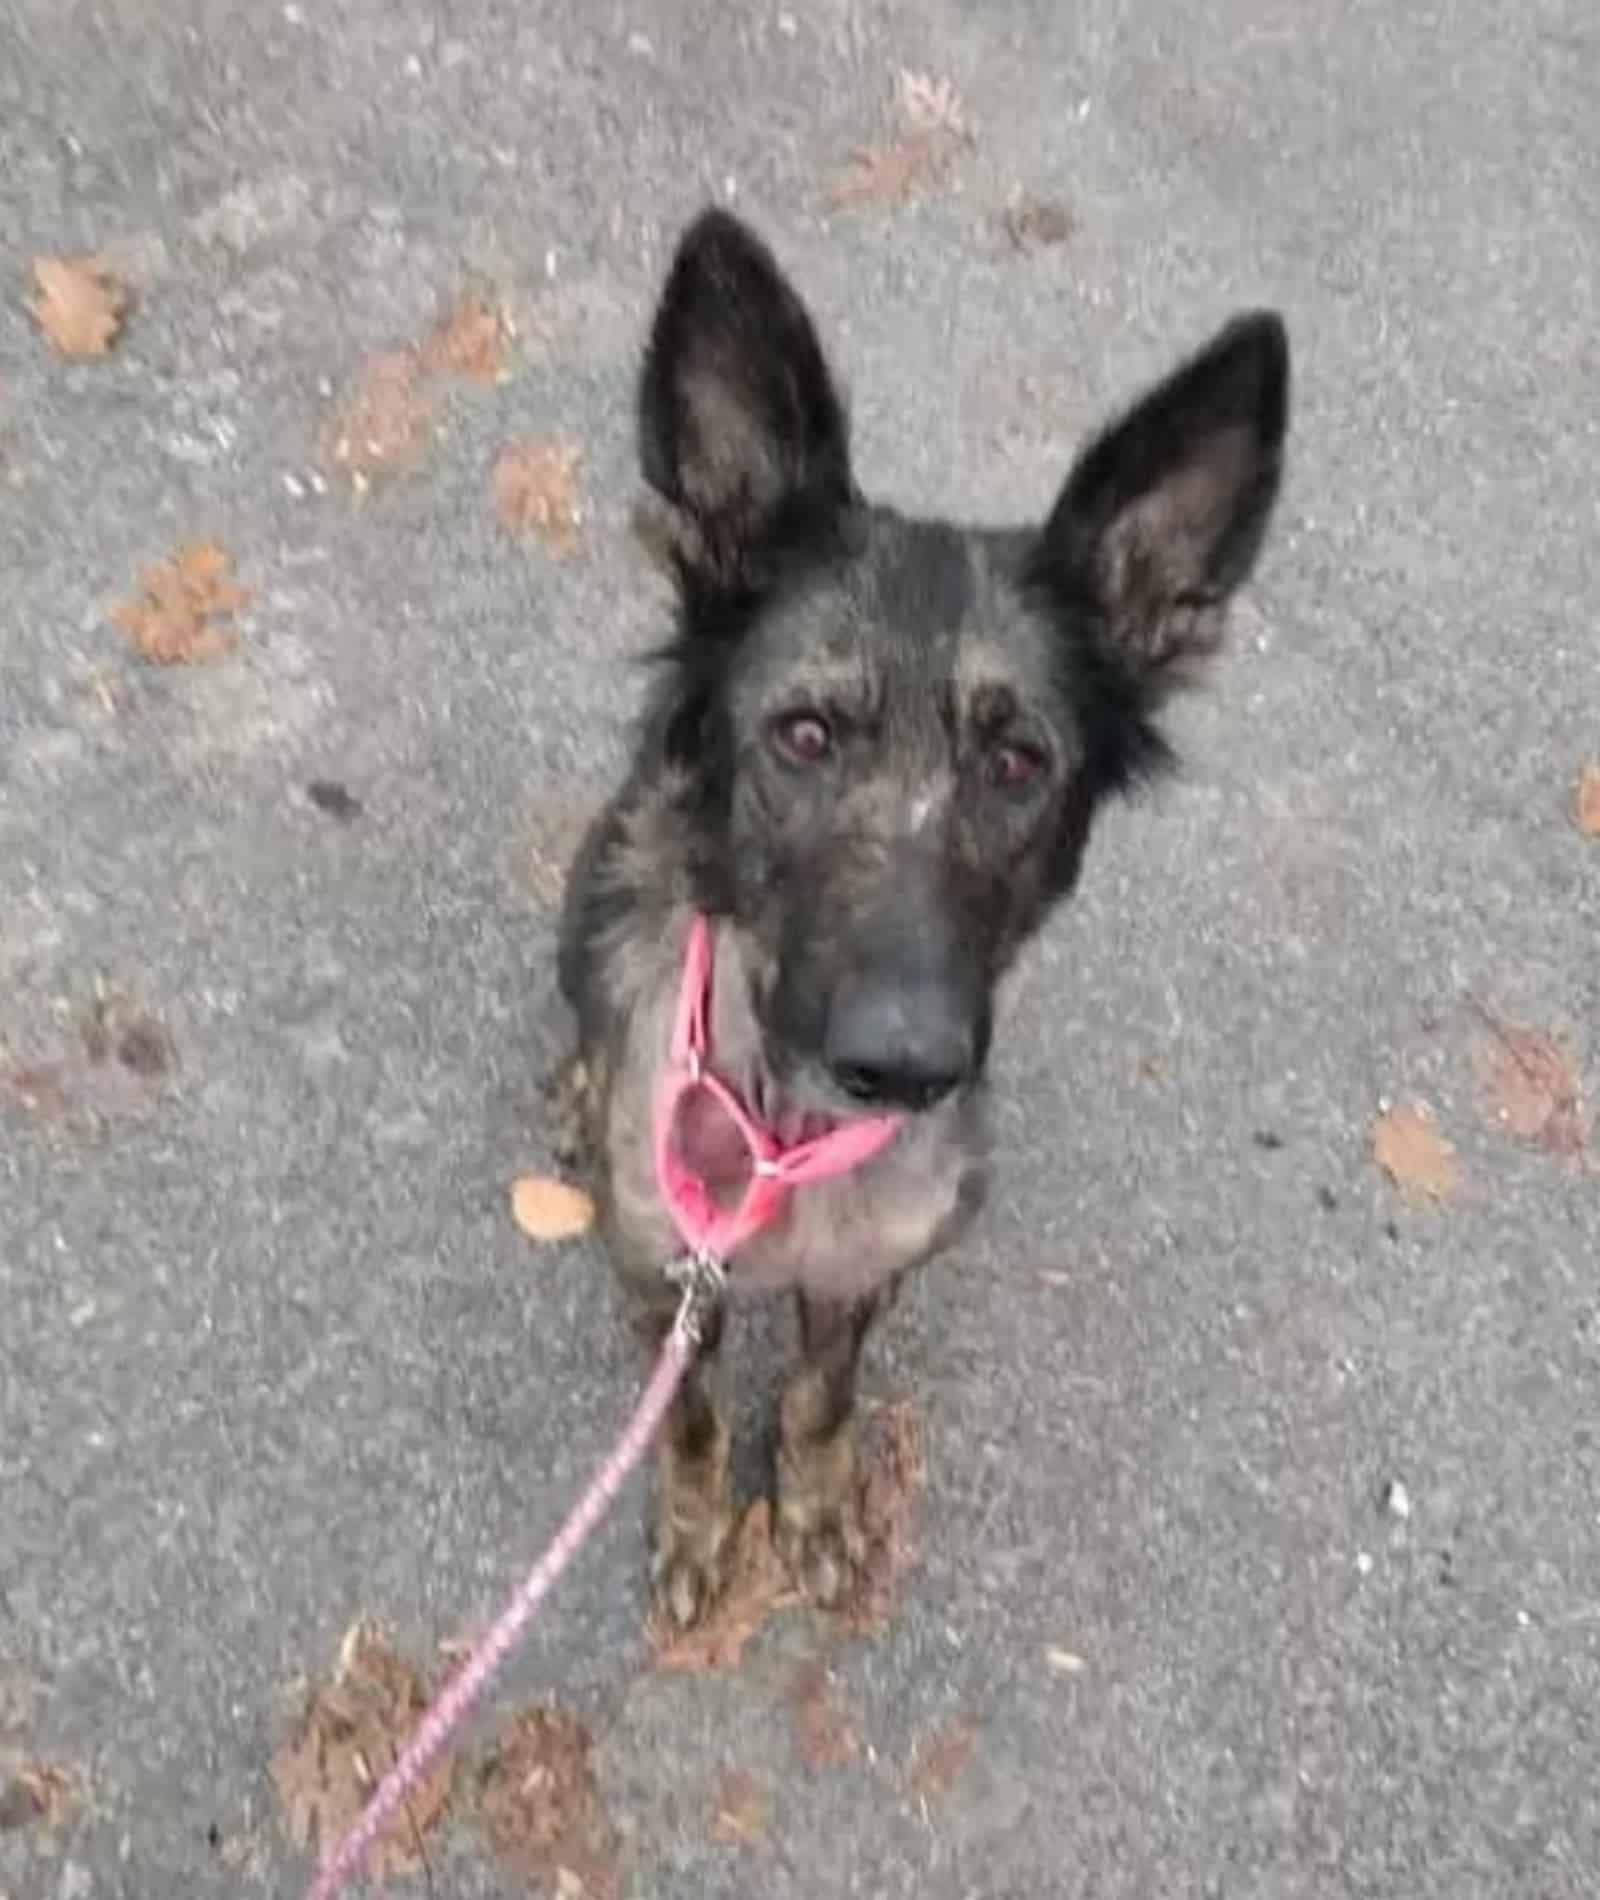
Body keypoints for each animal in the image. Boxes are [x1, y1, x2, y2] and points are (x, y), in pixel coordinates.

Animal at [547, 211, 1284, 1634]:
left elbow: (821, 1402)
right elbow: (689, 1424)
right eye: (804, 735)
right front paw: (699, 1525)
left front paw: (814, 1508)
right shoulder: (664, 1282)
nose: (902, 1065)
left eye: (1017, 762)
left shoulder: (863, 1279)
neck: (783, 1144)